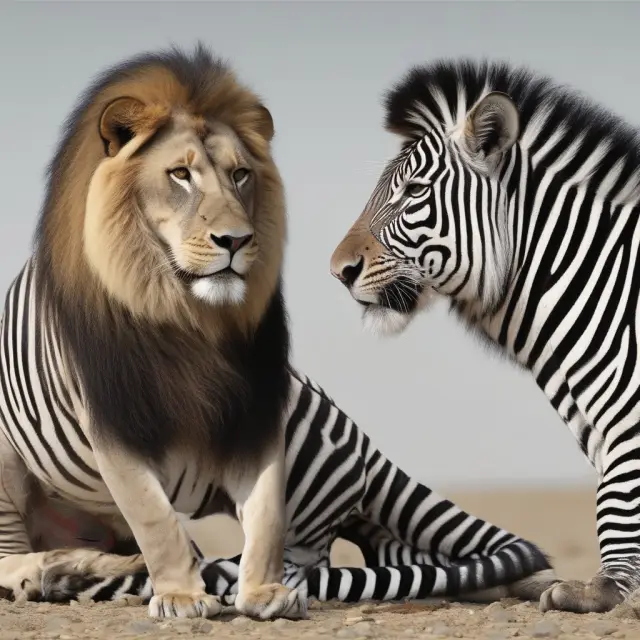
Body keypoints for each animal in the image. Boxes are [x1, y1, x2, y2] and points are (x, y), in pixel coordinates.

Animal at [329, 58, 640, 614]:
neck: (606, 287)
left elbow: (618, 492)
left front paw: (601, 589)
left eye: (415, 191)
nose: (337, 272)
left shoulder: (626, 412)